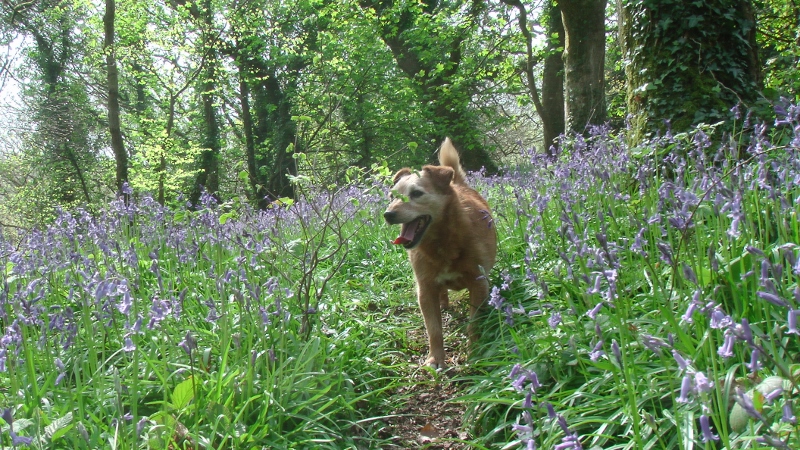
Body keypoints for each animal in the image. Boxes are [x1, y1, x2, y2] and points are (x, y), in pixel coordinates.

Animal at [384, 138, 496, 370]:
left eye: (416, 193)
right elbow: (433, 329)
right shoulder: (425, 289)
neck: (443, 242)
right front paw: (435, 358)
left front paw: (474, 352)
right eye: (392, 196)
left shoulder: (479, 283)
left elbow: (473, 325)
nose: (388, 214)